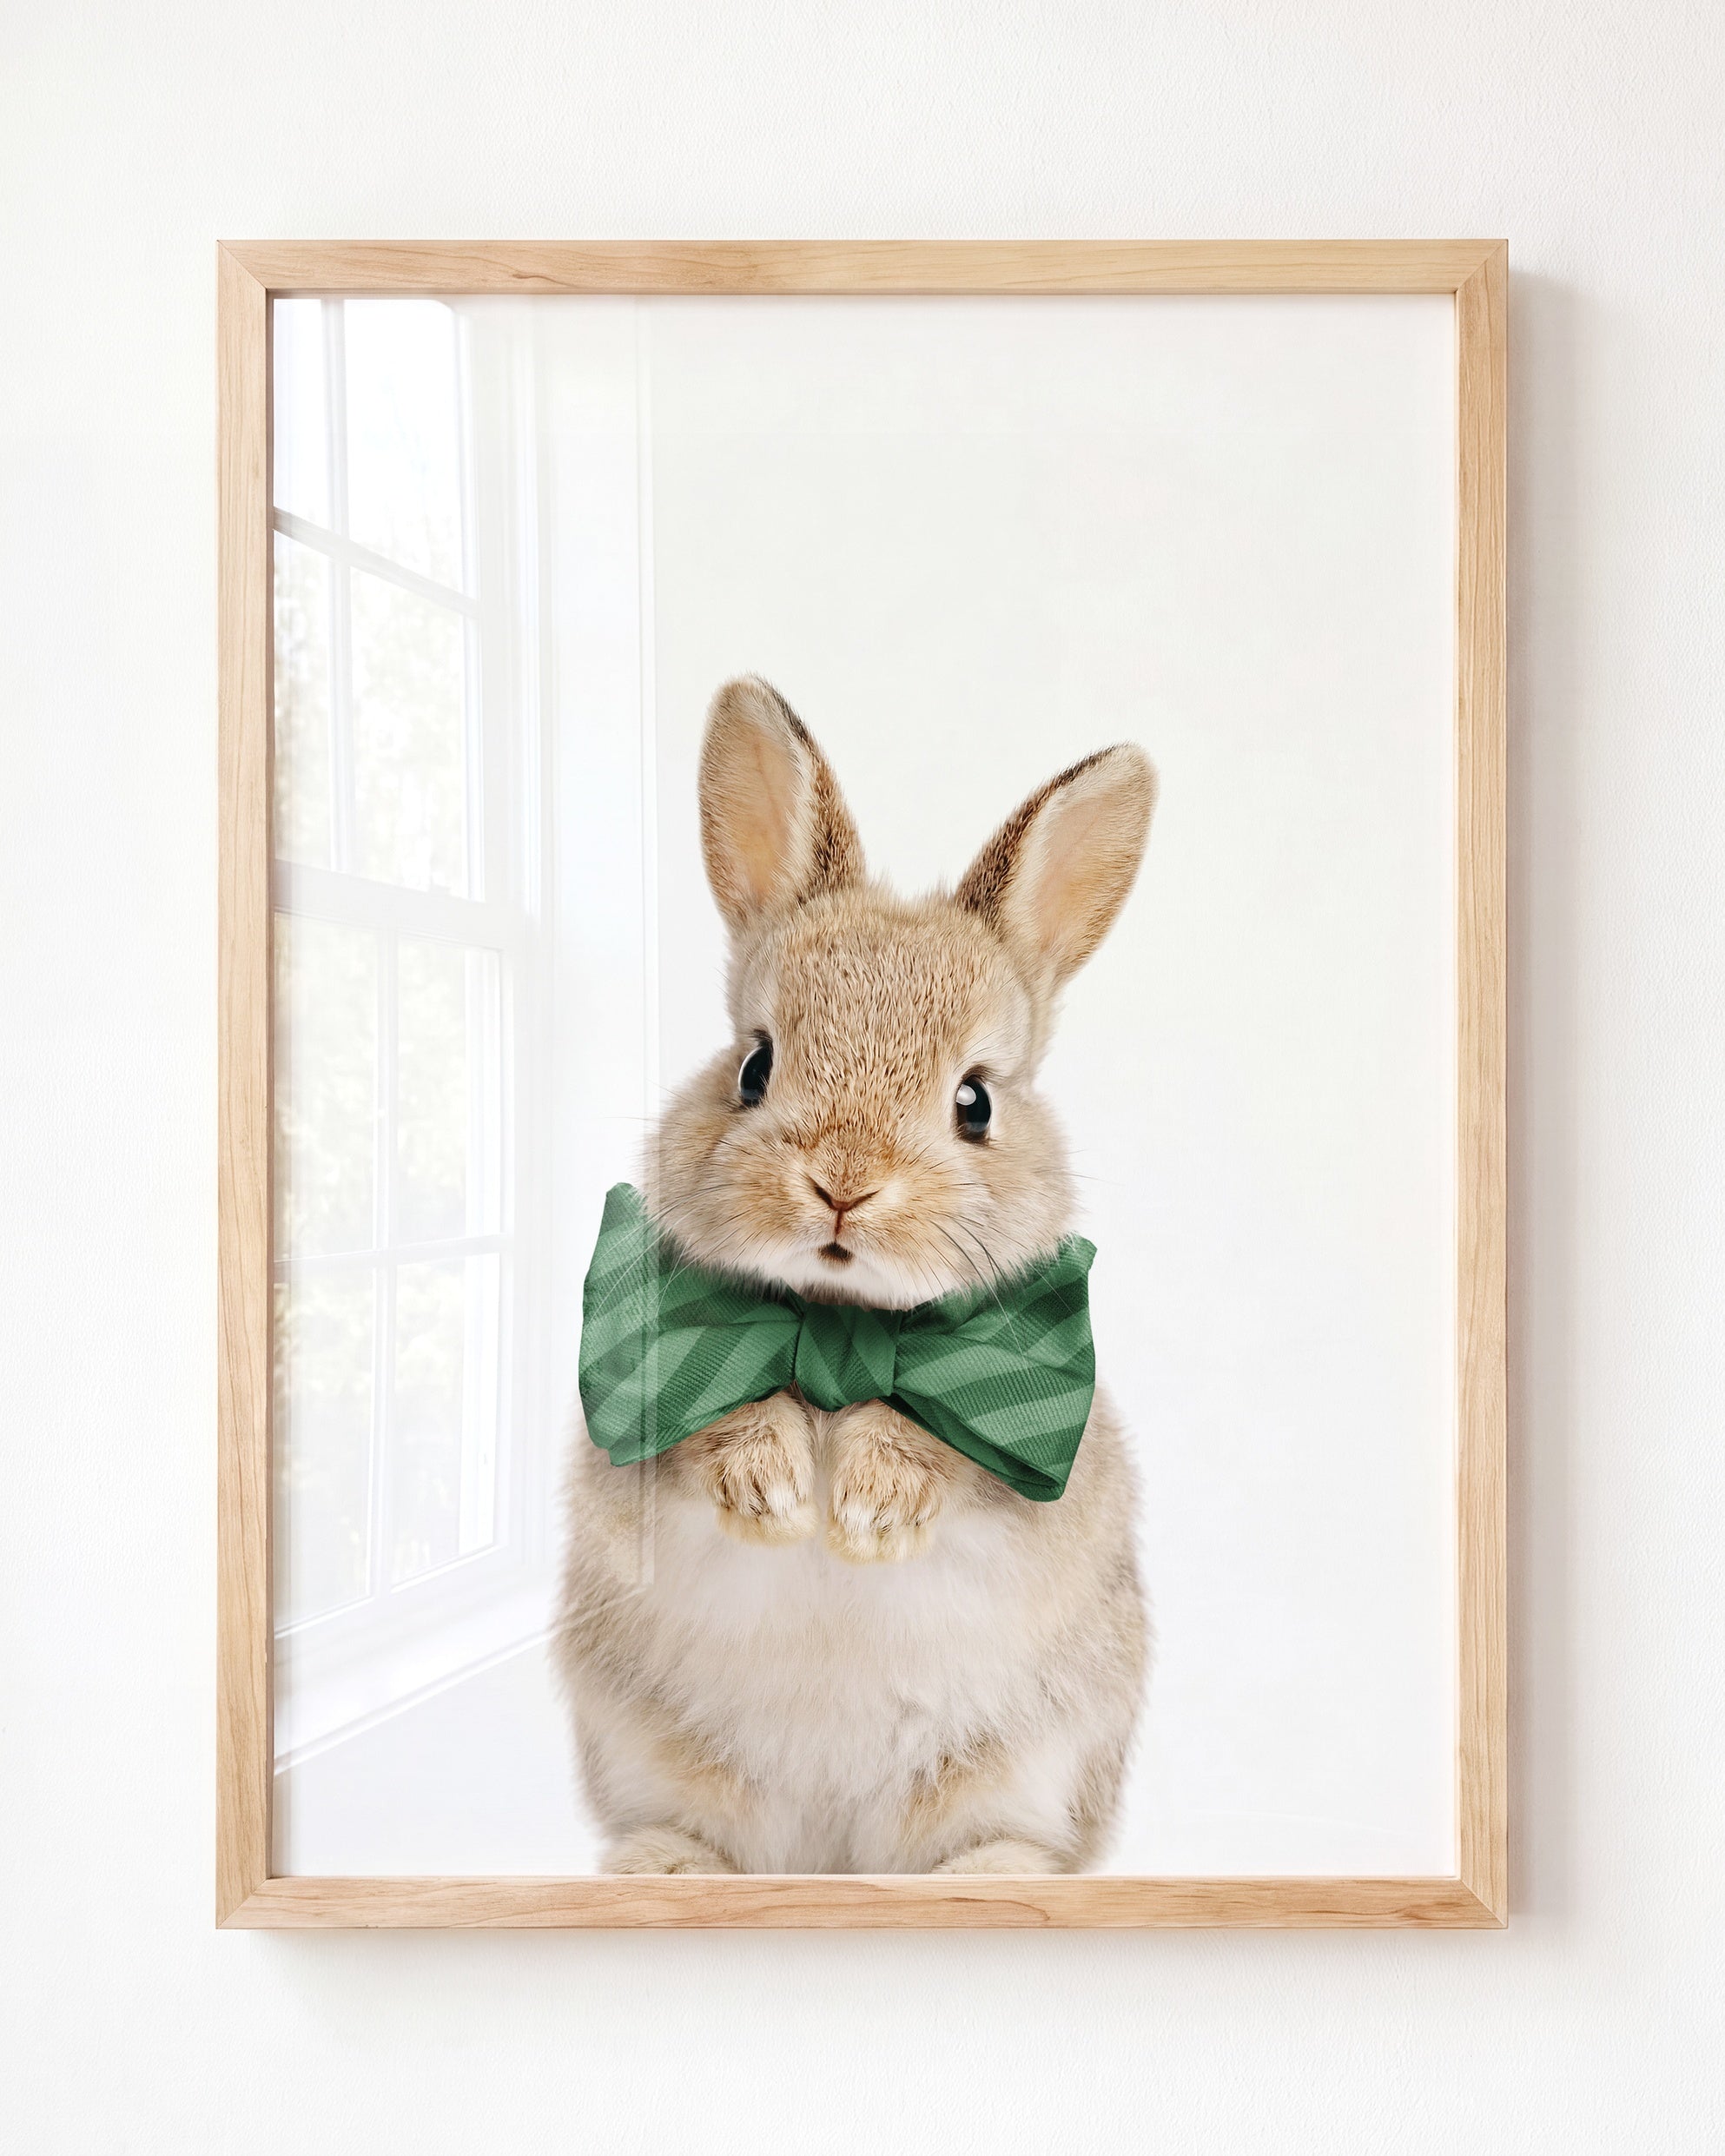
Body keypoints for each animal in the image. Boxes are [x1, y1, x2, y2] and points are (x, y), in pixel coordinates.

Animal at [554, 675, 1155, 1875]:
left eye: (975, 1100)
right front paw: (777, 1493)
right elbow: (707, 1428)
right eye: (754, 1064)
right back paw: (666, 1868)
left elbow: (952, 1450)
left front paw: (870, 1507)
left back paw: (993, 1883)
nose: (843, 1184)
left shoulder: (1034, 1445)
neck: (840, 1322)